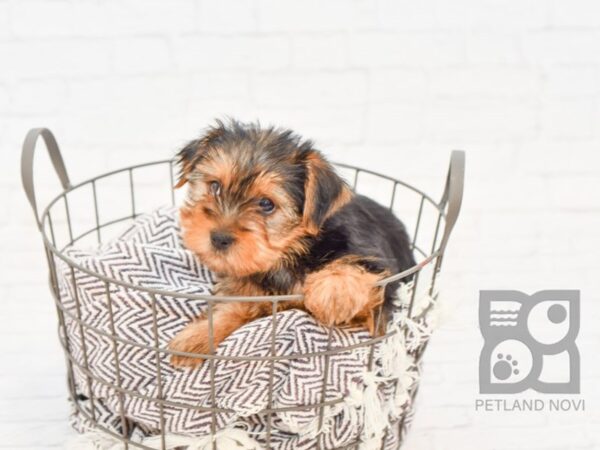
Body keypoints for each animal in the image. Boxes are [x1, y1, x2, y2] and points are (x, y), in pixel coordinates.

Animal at [166, 118, 414, 366]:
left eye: (266, 204)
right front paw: (198, 336)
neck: (292, 251)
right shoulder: (250, 290)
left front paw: (335, 293)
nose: (219, 238)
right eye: (215, 186)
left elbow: (356, 274)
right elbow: (233, 307)